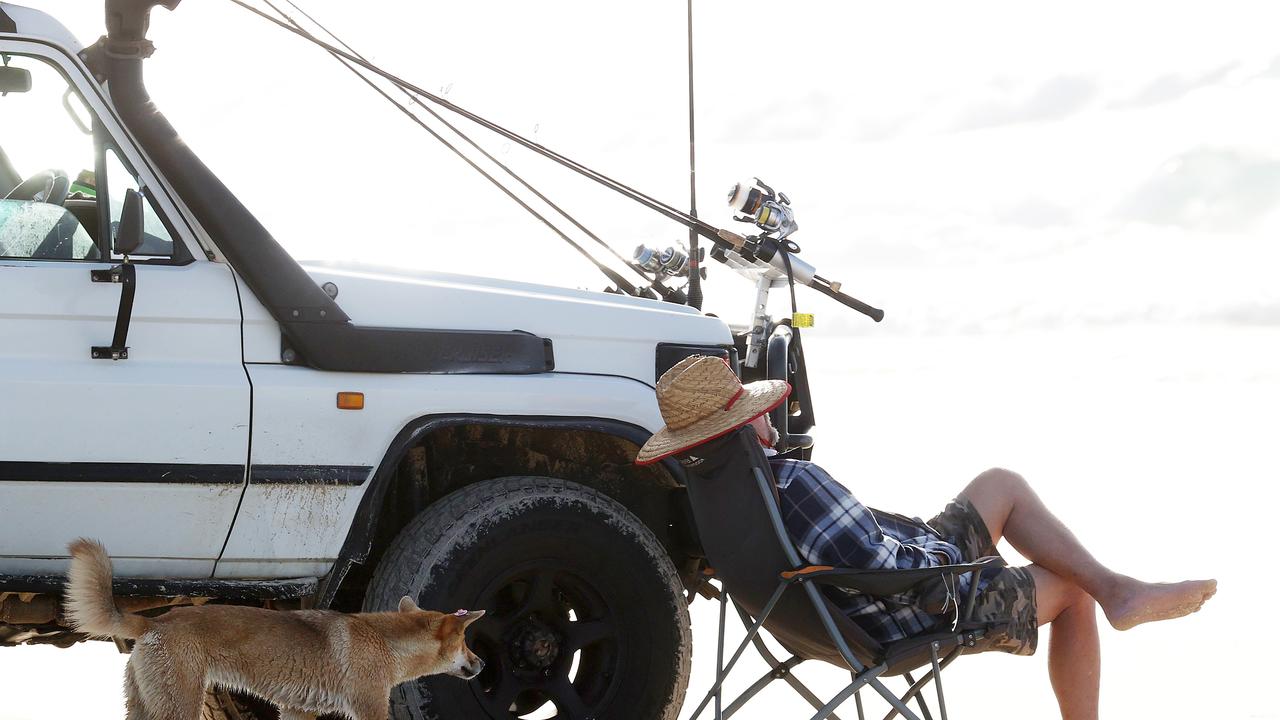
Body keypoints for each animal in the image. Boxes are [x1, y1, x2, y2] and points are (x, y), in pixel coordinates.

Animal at [64, 538, 483, 717]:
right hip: (179, 703)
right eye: (465, 640)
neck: (385, 643)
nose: (481, 664)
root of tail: (155, 620)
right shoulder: (369, 709)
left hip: (146, 703)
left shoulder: (298, 711)